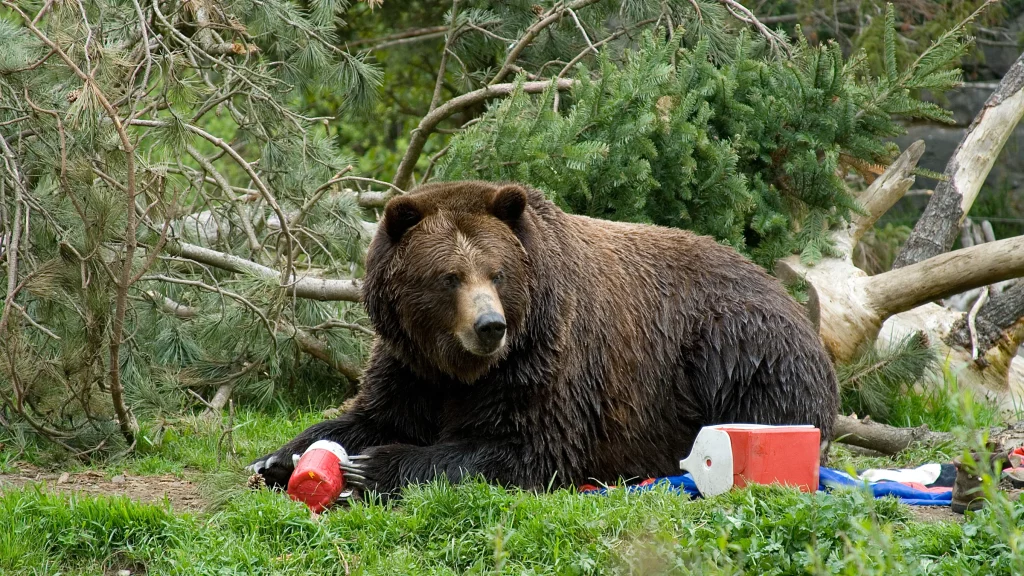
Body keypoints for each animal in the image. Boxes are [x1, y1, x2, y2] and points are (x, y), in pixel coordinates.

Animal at [248, 180, 839, 496]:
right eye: (449, 276)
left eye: (497, 272)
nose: (490, 326)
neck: (462, 368)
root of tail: (792, 303)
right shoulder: (409, 364)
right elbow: (371, 412)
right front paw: (277, 459)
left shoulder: (547, 359)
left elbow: (526, 447)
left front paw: (373, 466)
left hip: (736, 349)